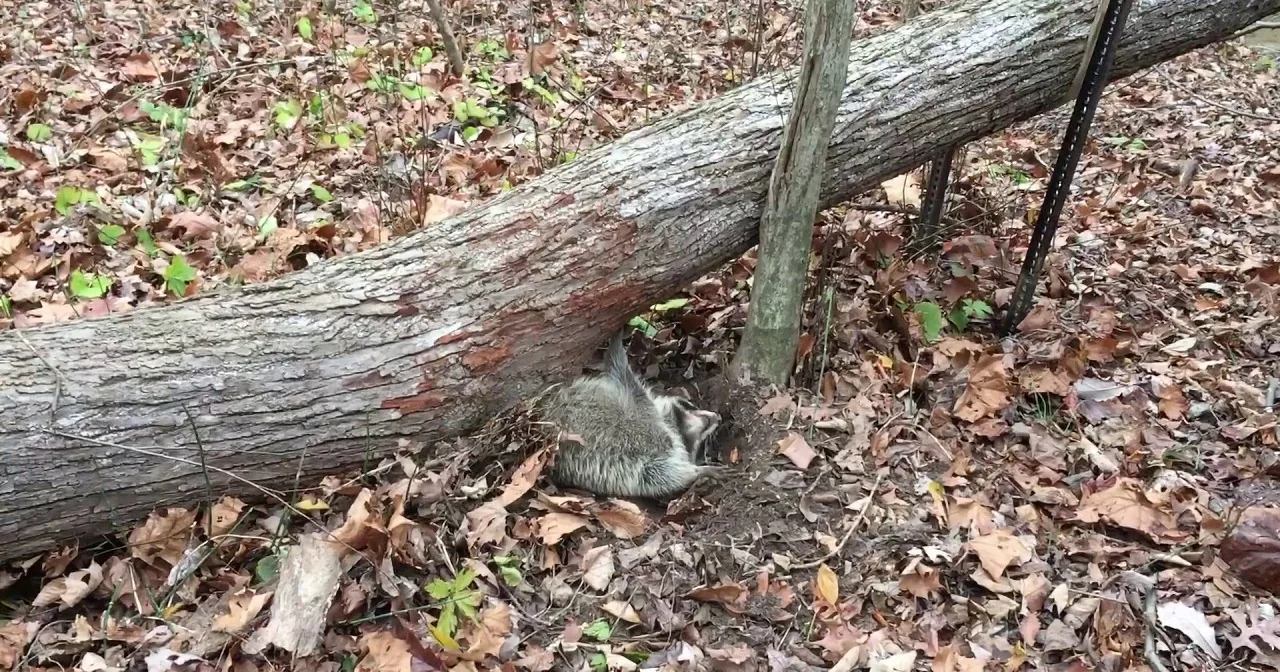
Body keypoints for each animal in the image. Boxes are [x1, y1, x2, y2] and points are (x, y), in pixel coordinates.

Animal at [543, 334, 721, 499]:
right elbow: (624, 375)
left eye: (702, 447)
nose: (717, 416)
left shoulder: (643, 465)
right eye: (689, 405)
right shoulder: (635, 398)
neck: (672, 427)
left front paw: (696, 470)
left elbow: (660, 477)